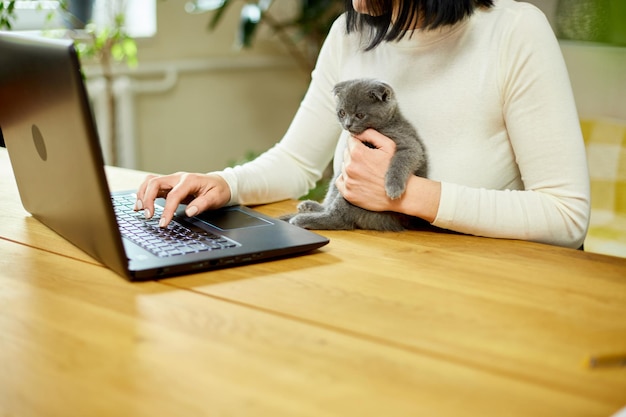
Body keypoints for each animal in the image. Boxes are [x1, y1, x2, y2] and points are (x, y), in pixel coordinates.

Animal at [286, 78, 426, 231]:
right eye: (342, 113)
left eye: (359, 115)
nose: (347, 124)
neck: (386, 125)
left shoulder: (409, 144)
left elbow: (401, 161)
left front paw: (393, 188)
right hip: (340, 180)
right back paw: (310, 207)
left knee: (340, 219)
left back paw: (302, 219)